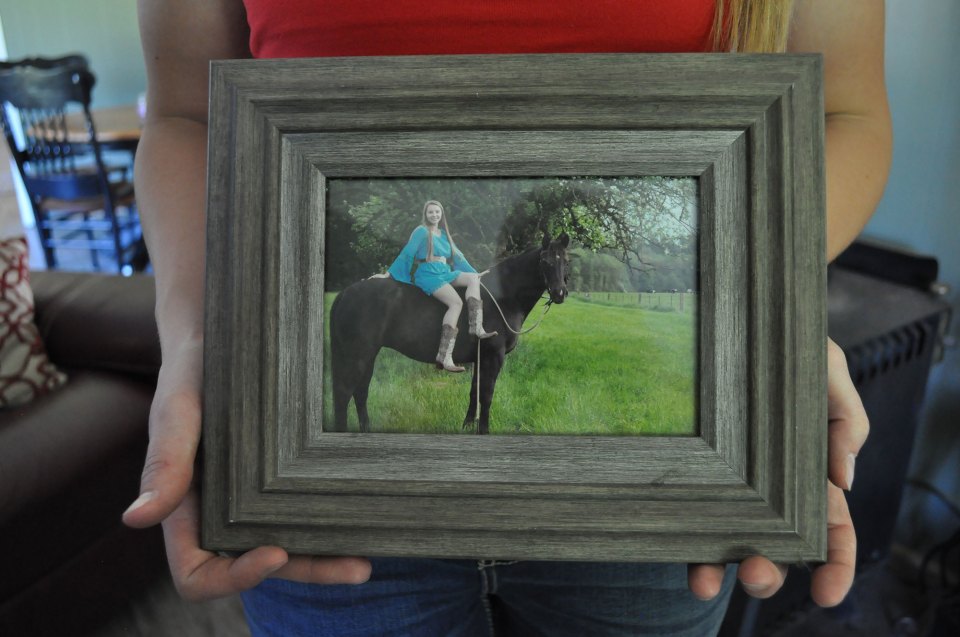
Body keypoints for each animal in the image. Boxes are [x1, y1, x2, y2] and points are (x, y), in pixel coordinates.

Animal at [330, 231, 568, 434]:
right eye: (545, 262)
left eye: (566, 261)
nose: (560, 293)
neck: (503, 298)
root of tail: (346, 293)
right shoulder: (493, 357)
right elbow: (487, 396)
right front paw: (483, 430)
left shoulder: (480, 359)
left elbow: (475, 392)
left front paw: (467, 426)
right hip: (357, 355)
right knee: (345, 394)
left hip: (368, 355)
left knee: (360, 393)